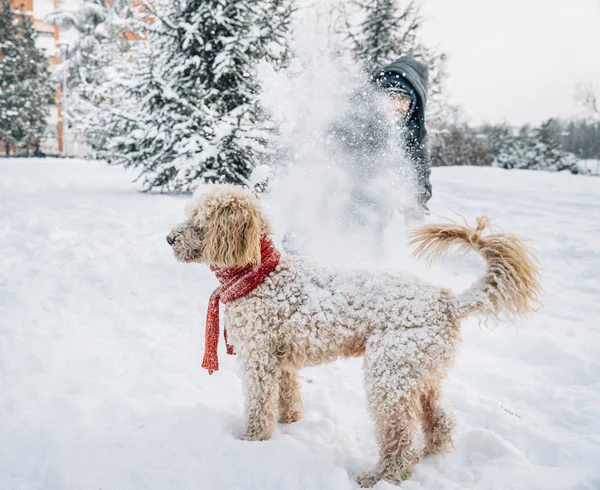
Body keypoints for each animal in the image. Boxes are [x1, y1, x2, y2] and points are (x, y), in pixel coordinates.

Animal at [166, 184, 540, 486]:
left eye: (199, 220)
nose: (170, 238)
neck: (258, 273)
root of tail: (448, 302)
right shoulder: (281, 360)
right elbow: (288, 394)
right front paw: (290, 421)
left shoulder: (259, 359)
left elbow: (259, 404)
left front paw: (252, 441)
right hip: (420, 376)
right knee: (440, 418)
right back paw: (435, 451)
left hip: (388, 376)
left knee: (402, 439)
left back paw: (383, 476)